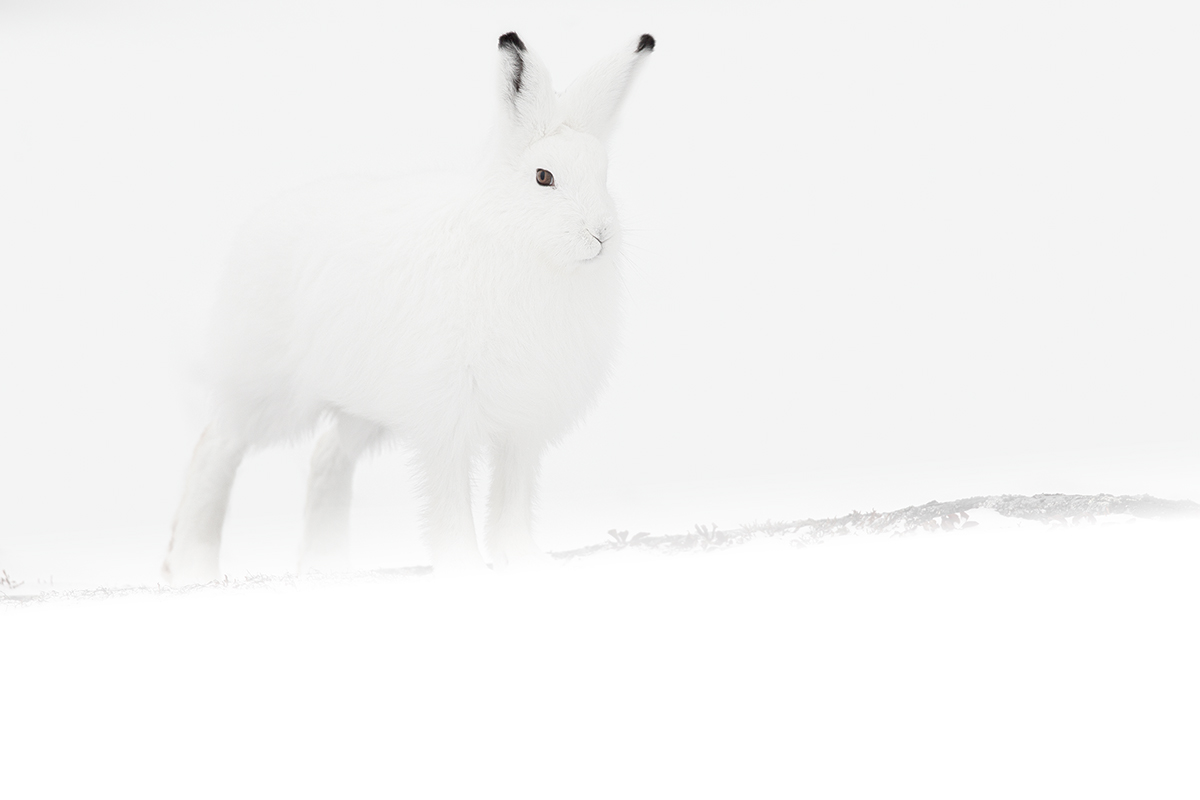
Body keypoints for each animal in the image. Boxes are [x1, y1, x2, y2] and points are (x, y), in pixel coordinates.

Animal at [161, 32, 656, 584]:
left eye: (604, 176)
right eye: (543, 177)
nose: (600, 235)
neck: (520, 248)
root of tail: (257, 224)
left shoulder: (521, 428)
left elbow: (512, 499)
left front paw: (527, 562)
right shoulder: (447, 418)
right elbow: (450, 499)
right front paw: (464, 569)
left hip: (360, 405)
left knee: (327, 455)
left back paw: (327, 566)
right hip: (269, 391)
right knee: (216, 448)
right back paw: (193, 567)